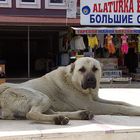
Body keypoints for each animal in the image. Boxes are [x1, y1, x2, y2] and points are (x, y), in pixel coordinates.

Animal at [0, 57, 140, 124]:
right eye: (81, 70)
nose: (90, 80)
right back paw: (59, 119)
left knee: (49, 112)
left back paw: (76, 115)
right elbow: (118, 107)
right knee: (31, 114)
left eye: (95, 69)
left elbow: (121, 102)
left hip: (46, 101)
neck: (73, 81)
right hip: (42, 96)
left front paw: (135, 106)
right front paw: (135, 111)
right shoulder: (92, 104)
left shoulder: (96, 99)